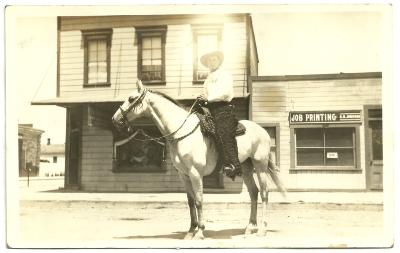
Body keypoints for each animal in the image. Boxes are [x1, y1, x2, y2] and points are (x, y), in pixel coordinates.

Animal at [111, 80, 288, 240]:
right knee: (253, 193)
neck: (181, 132)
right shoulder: (183, 174)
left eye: (131, 98)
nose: (115, 119)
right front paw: (190, 231)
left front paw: (200, 232)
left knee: (264, 193)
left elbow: (199, 200)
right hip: (246, 168)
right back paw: (250, 227)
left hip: (260, 165)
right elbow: (190, 201)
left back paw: (262, 229)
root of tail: (262, 131)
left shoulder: (195, 173)